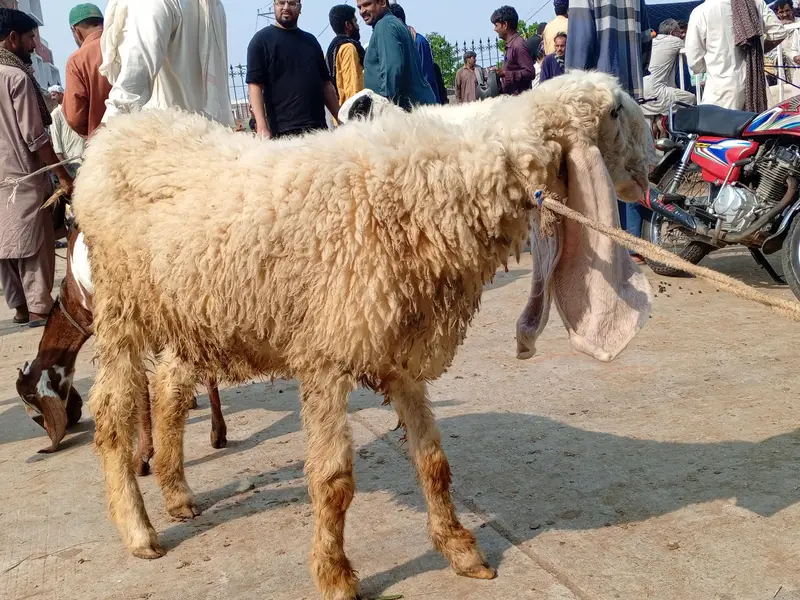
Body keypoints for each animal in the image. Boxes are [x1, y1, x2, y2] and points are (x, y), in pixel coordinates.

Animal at [72, 71, 652, 599]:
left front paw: (460, 549)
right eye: (616, 110)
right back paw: (138, 529)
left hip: (198, 311)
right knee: (112, 412)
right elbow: (332, 481)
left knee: (169, 386)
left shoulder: (400, 349)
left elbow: (433, 461)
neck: (434, 183)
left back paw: (177, 494)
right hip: (121, 305)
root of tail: (115, 135)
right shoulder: (328, 355)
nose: (649, 178)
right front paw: (334, 576)